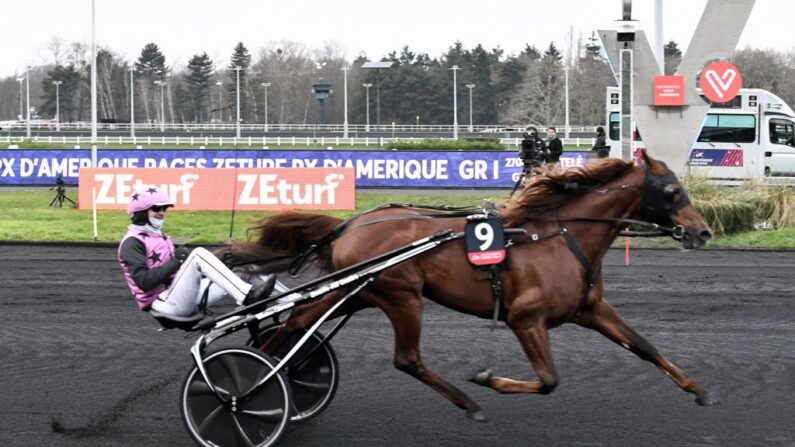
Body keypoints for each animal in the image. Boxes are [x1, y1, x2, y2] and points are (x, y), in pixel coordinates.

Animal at [233, 151, 720, 424]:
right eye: (672, 191)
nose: (703, 232)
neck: (561, 236)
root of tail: (350, 224)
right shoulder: (525, 319)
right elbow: (549, 380)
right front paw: (487, 378)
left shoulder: (591, 309)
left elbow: (645, 347)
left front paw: (697, 388)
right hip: (400, 295)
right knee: (406, 358)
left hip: (356, 293)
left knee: (295, 322)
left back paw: (266, 379)